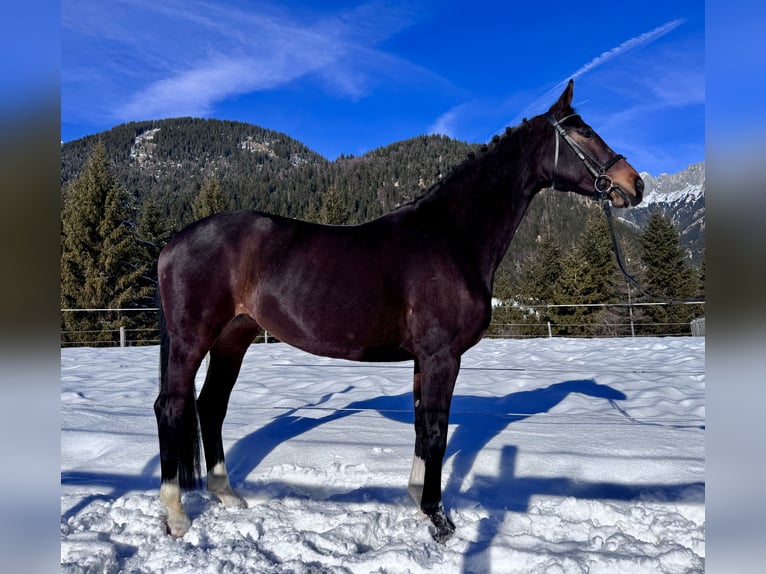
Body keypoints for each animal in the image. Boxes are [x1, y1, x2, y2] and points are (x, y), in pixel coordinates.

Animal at [153, 79, 643, 542]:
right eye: (584, 131)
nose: (634, 184)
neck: (452, 237)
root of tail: (173, 242)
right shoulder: (443, 356)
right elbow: (437, 432)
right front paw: (439, 519)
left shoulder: (424, 359)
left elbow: (421, 428)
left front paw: (417, 500)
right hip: (192, 339)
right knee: (172, 408)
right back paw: (176, 517)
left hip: (234, 337)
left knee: (210, 406)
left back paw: (227, 496)